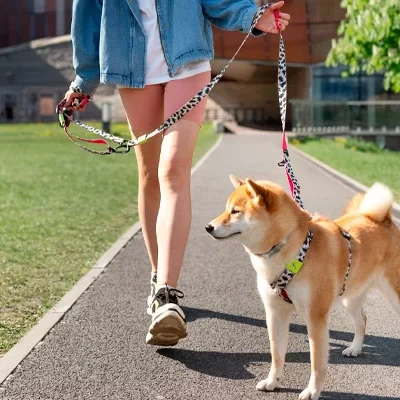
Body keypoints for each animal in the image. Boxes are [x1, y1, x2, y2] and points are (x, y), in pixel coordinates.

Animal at [205, 177, 398, 400]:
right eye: (226, 209)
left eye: (236, 211)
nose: (208, 227)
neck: (291, 248)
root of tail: (383, 219)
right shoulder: (275, 313)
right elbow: (276, 354)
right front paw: (272, 382)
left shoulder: (315, 318)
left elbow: (316, 363)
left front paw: (312, 391)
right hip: (351, 296)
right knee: (362, 320)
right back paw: (355, 348)